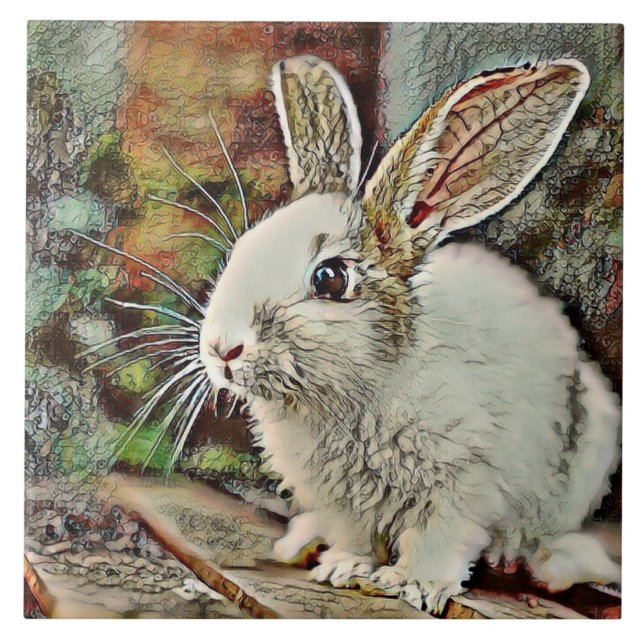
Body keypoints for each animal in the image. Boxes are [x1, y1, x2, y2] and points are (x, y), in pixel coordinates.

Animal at [198, 55, 621, 614]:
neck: (356, 388)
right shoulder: (342, 501)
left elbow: (439, 541)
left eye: (330, 279)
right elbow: (356, 536)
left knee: (538, 534)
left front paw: (413, 586)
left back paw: (522, 558)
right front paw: (343, 568)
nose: (221, 348)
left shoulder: (462, 486)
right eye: (243, 248)